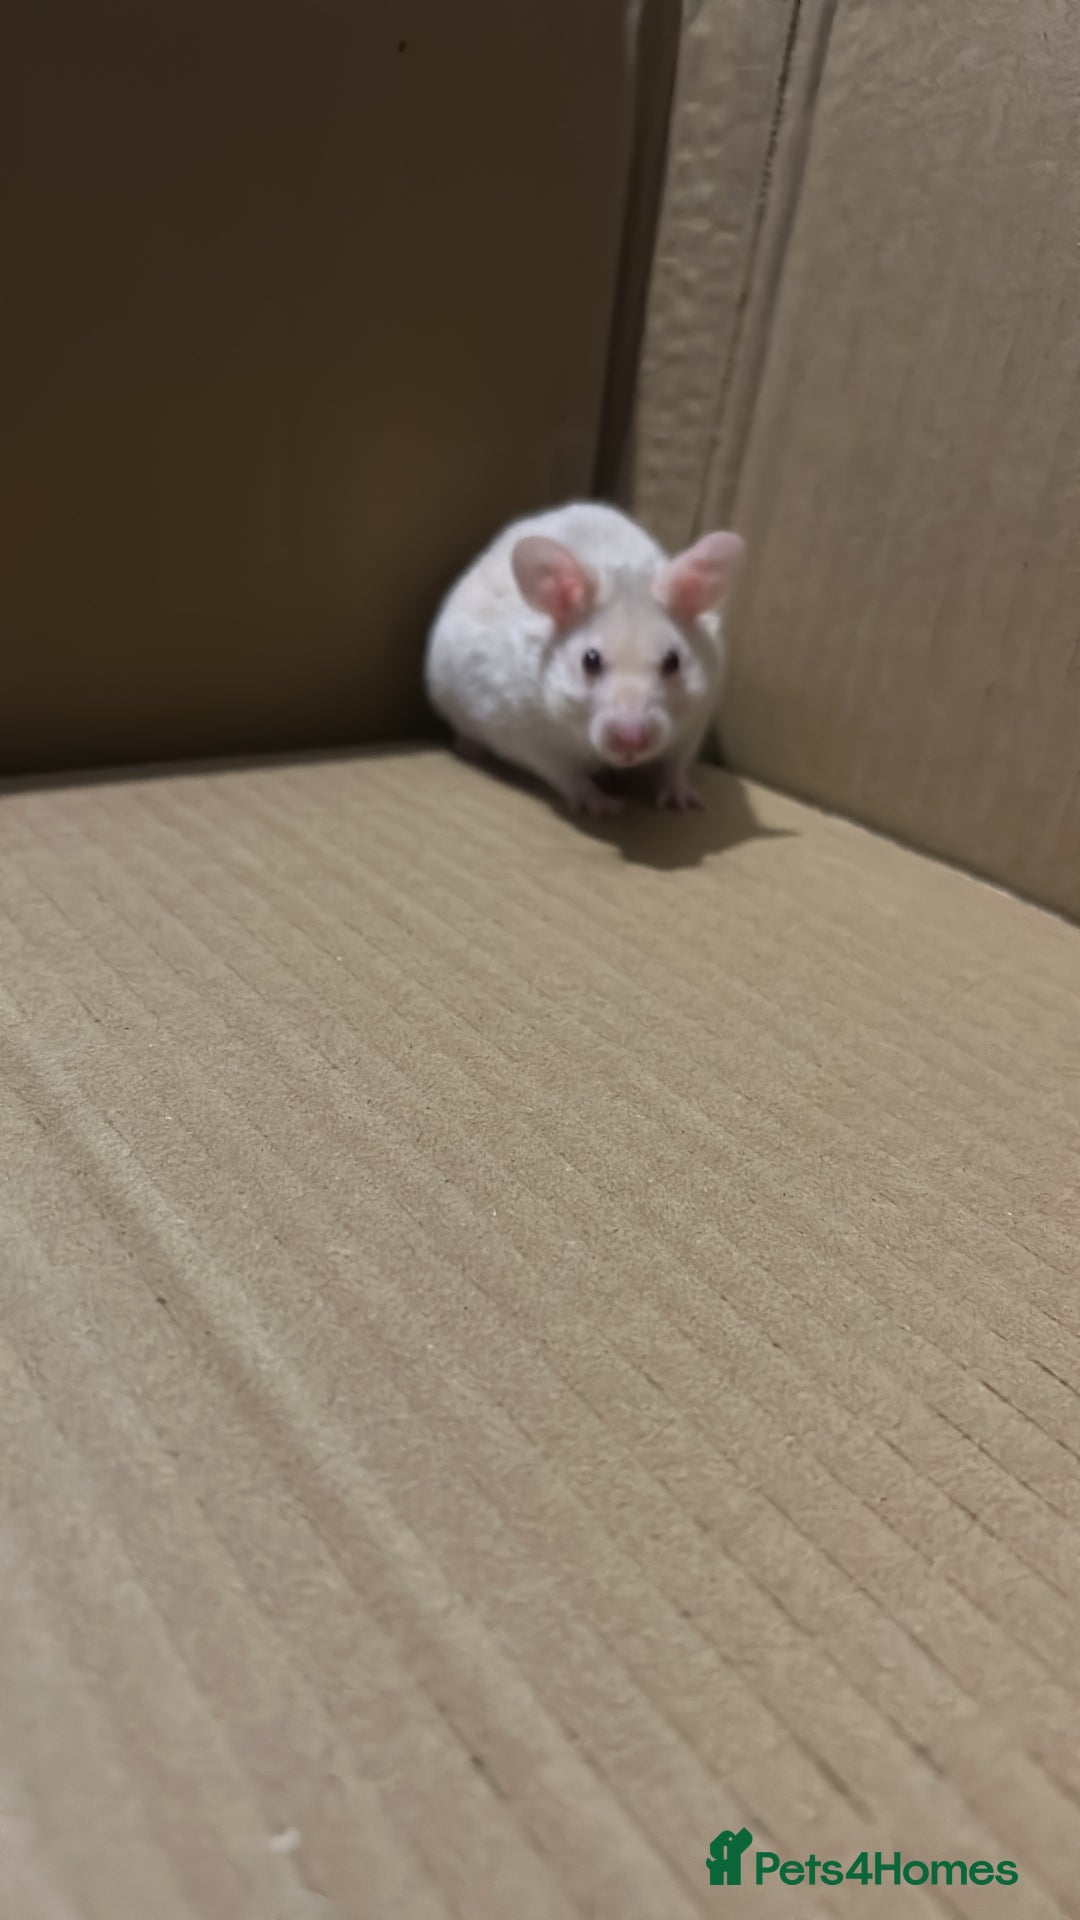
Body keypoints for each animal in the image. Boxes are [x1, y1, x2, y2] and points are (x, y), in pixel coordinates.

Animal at [424, 501, 744, 816]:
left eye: (673, 662)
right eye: (589, 661)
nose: (631, 741)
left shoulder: (694, 724)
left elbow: (674, 766)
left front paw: (686, 801)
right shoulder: (527, 738)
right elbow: (569, 777)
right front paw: (608, 807)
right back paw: (468, 749)